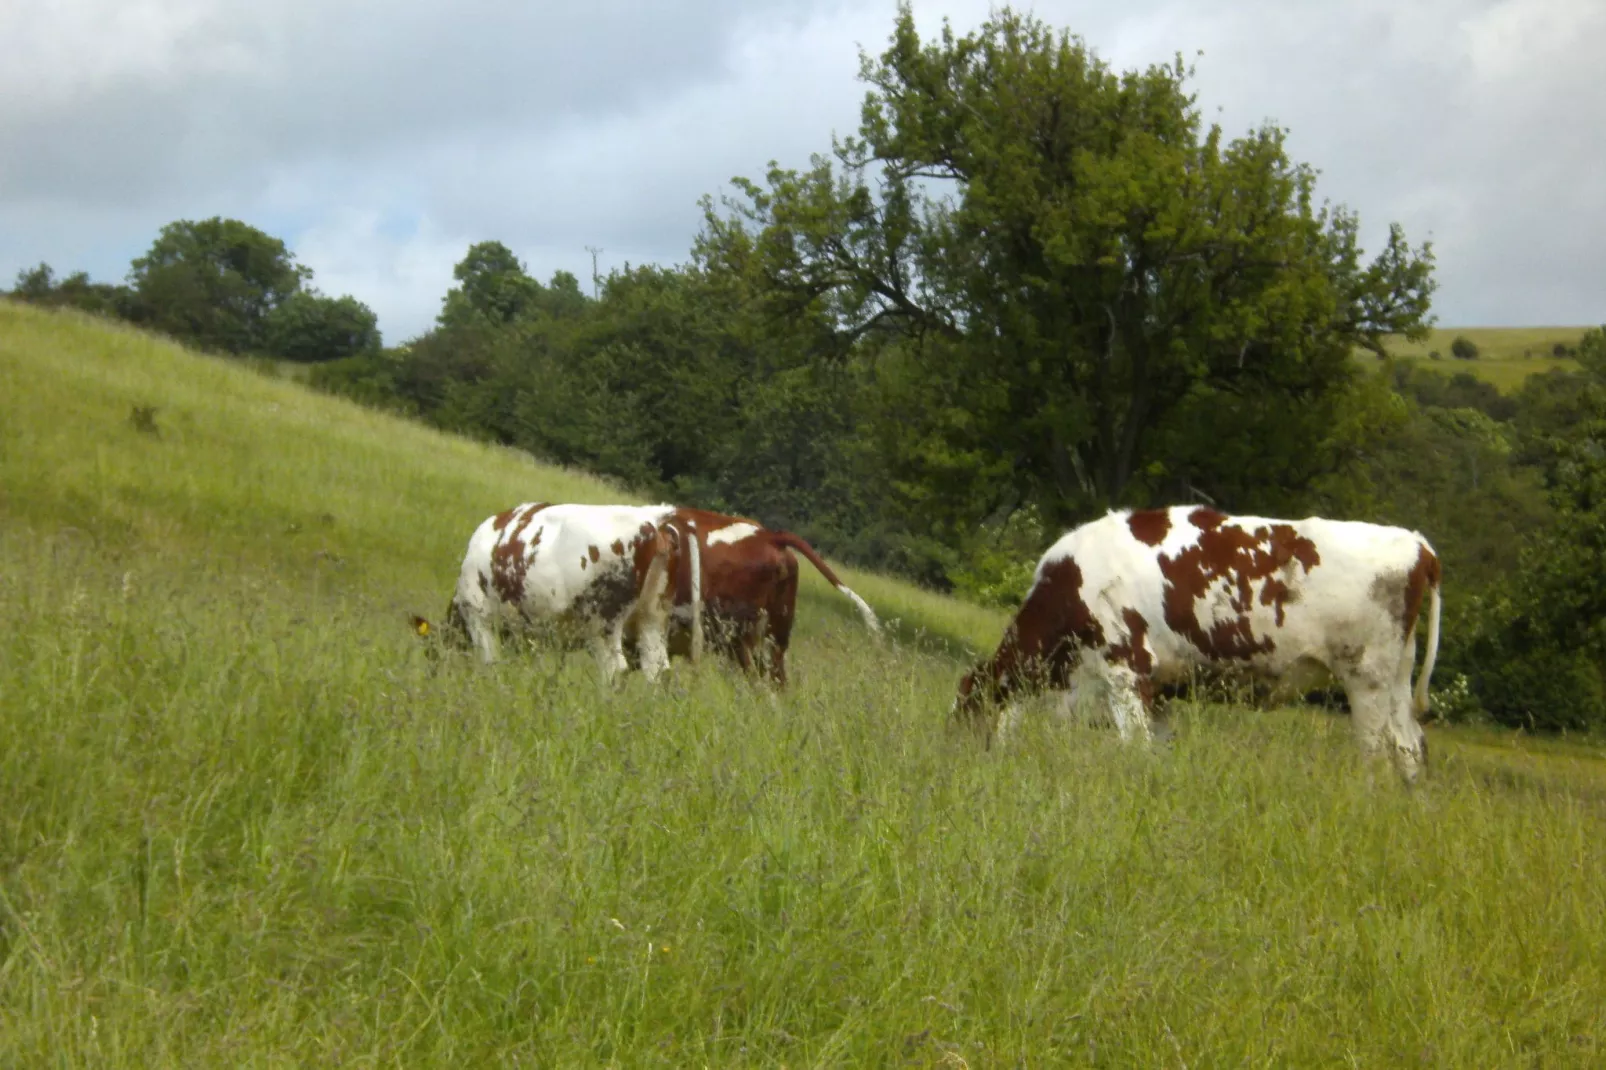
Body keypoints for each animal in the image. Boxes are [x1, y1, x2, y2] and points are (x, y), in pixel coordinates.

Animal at [411, 501, 700, 684]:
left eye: (431, 652)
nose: (432, 674)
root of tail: (655, 525)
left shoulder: (479, 617)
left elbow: (490, 663)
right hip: (652, 618)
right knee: (658, 670)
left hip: (601, 623)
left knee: (614, 669)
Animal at [950, 504, 1445, 780]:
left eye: (966, 718)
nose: (961, 765)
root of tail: (1418, 543)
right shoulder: (1159, 692)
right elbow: (1158, 750)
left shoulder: (1126, 670)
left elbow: (1133, 746)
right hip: (1396, 681)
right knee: (1409, 749)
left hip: (1366, 680)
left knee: (1375, 753)